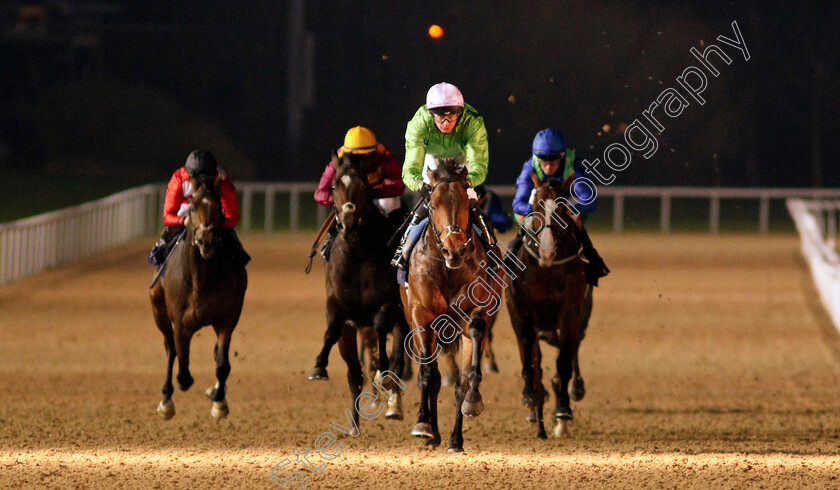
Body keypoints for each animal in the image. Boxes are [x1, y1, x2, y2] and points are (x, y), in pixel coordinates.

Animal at [150, 174, 248, 420]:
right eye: (192, 207)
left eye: (220, 207)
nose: (206, 240)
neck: (202, 281)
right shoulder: (179, 323)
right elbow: (182, 367)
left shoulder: (227, 319)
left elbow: (222, 363)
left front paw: (219, 402)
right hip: (158, 311)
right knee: (170, 351)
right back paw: (166, 401)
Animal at [312, 152, 410, 428]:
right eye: (334, 186)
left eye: (365, 186)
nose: (348, 225)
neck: (356, 255)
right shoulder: (337, 306)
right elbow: (332, 330)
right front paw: (319, 366)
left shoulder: (391, 303)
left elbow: (380, 324)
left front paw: (382, 370)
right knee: (354, 372)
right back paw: (355, 425)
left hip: (403, 320)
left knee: (397, 360)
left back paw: (393, 404)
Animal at [402, 157, 502, 452]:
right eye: (432, 205)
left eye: (467, 204)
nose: (454, 249)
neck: (447, 270)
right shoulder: (421, 316)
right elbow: (428, 375)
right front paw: (423, 424)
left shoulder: (476, 310)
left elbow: (467, 375)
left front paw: (473, 401)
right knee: (433, 377)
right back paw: (432, 432)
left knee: (460, 380)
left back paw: (455, 439)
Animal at [502, 174, 592, 438]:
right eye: (536, 206)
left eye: (562, 209)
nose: (546, 251)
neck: (547, 271)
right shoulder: (523, 315)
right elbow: (530, 363)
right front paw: (533, 400)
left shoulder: (570, 313)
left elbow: (563, 363)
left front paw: (562, 411)